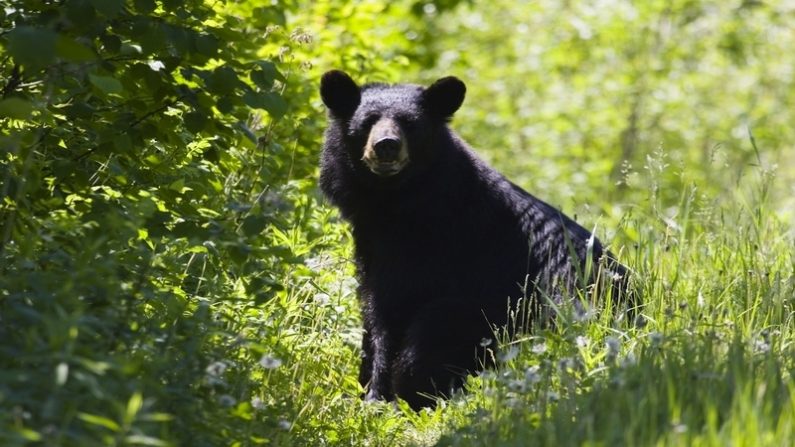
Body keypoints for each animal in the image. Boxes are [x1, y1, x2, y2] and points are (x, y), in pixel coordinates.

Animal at [318, 69, 628, 410]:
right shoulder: (371, 244)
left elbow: (392, 310)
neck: (398, 203)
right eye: (367, 121)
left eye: (411, 124)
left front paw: (377, 398)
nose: (386, 145)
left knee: (433, 328)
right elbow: (373, 312)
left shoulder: (430, 250)